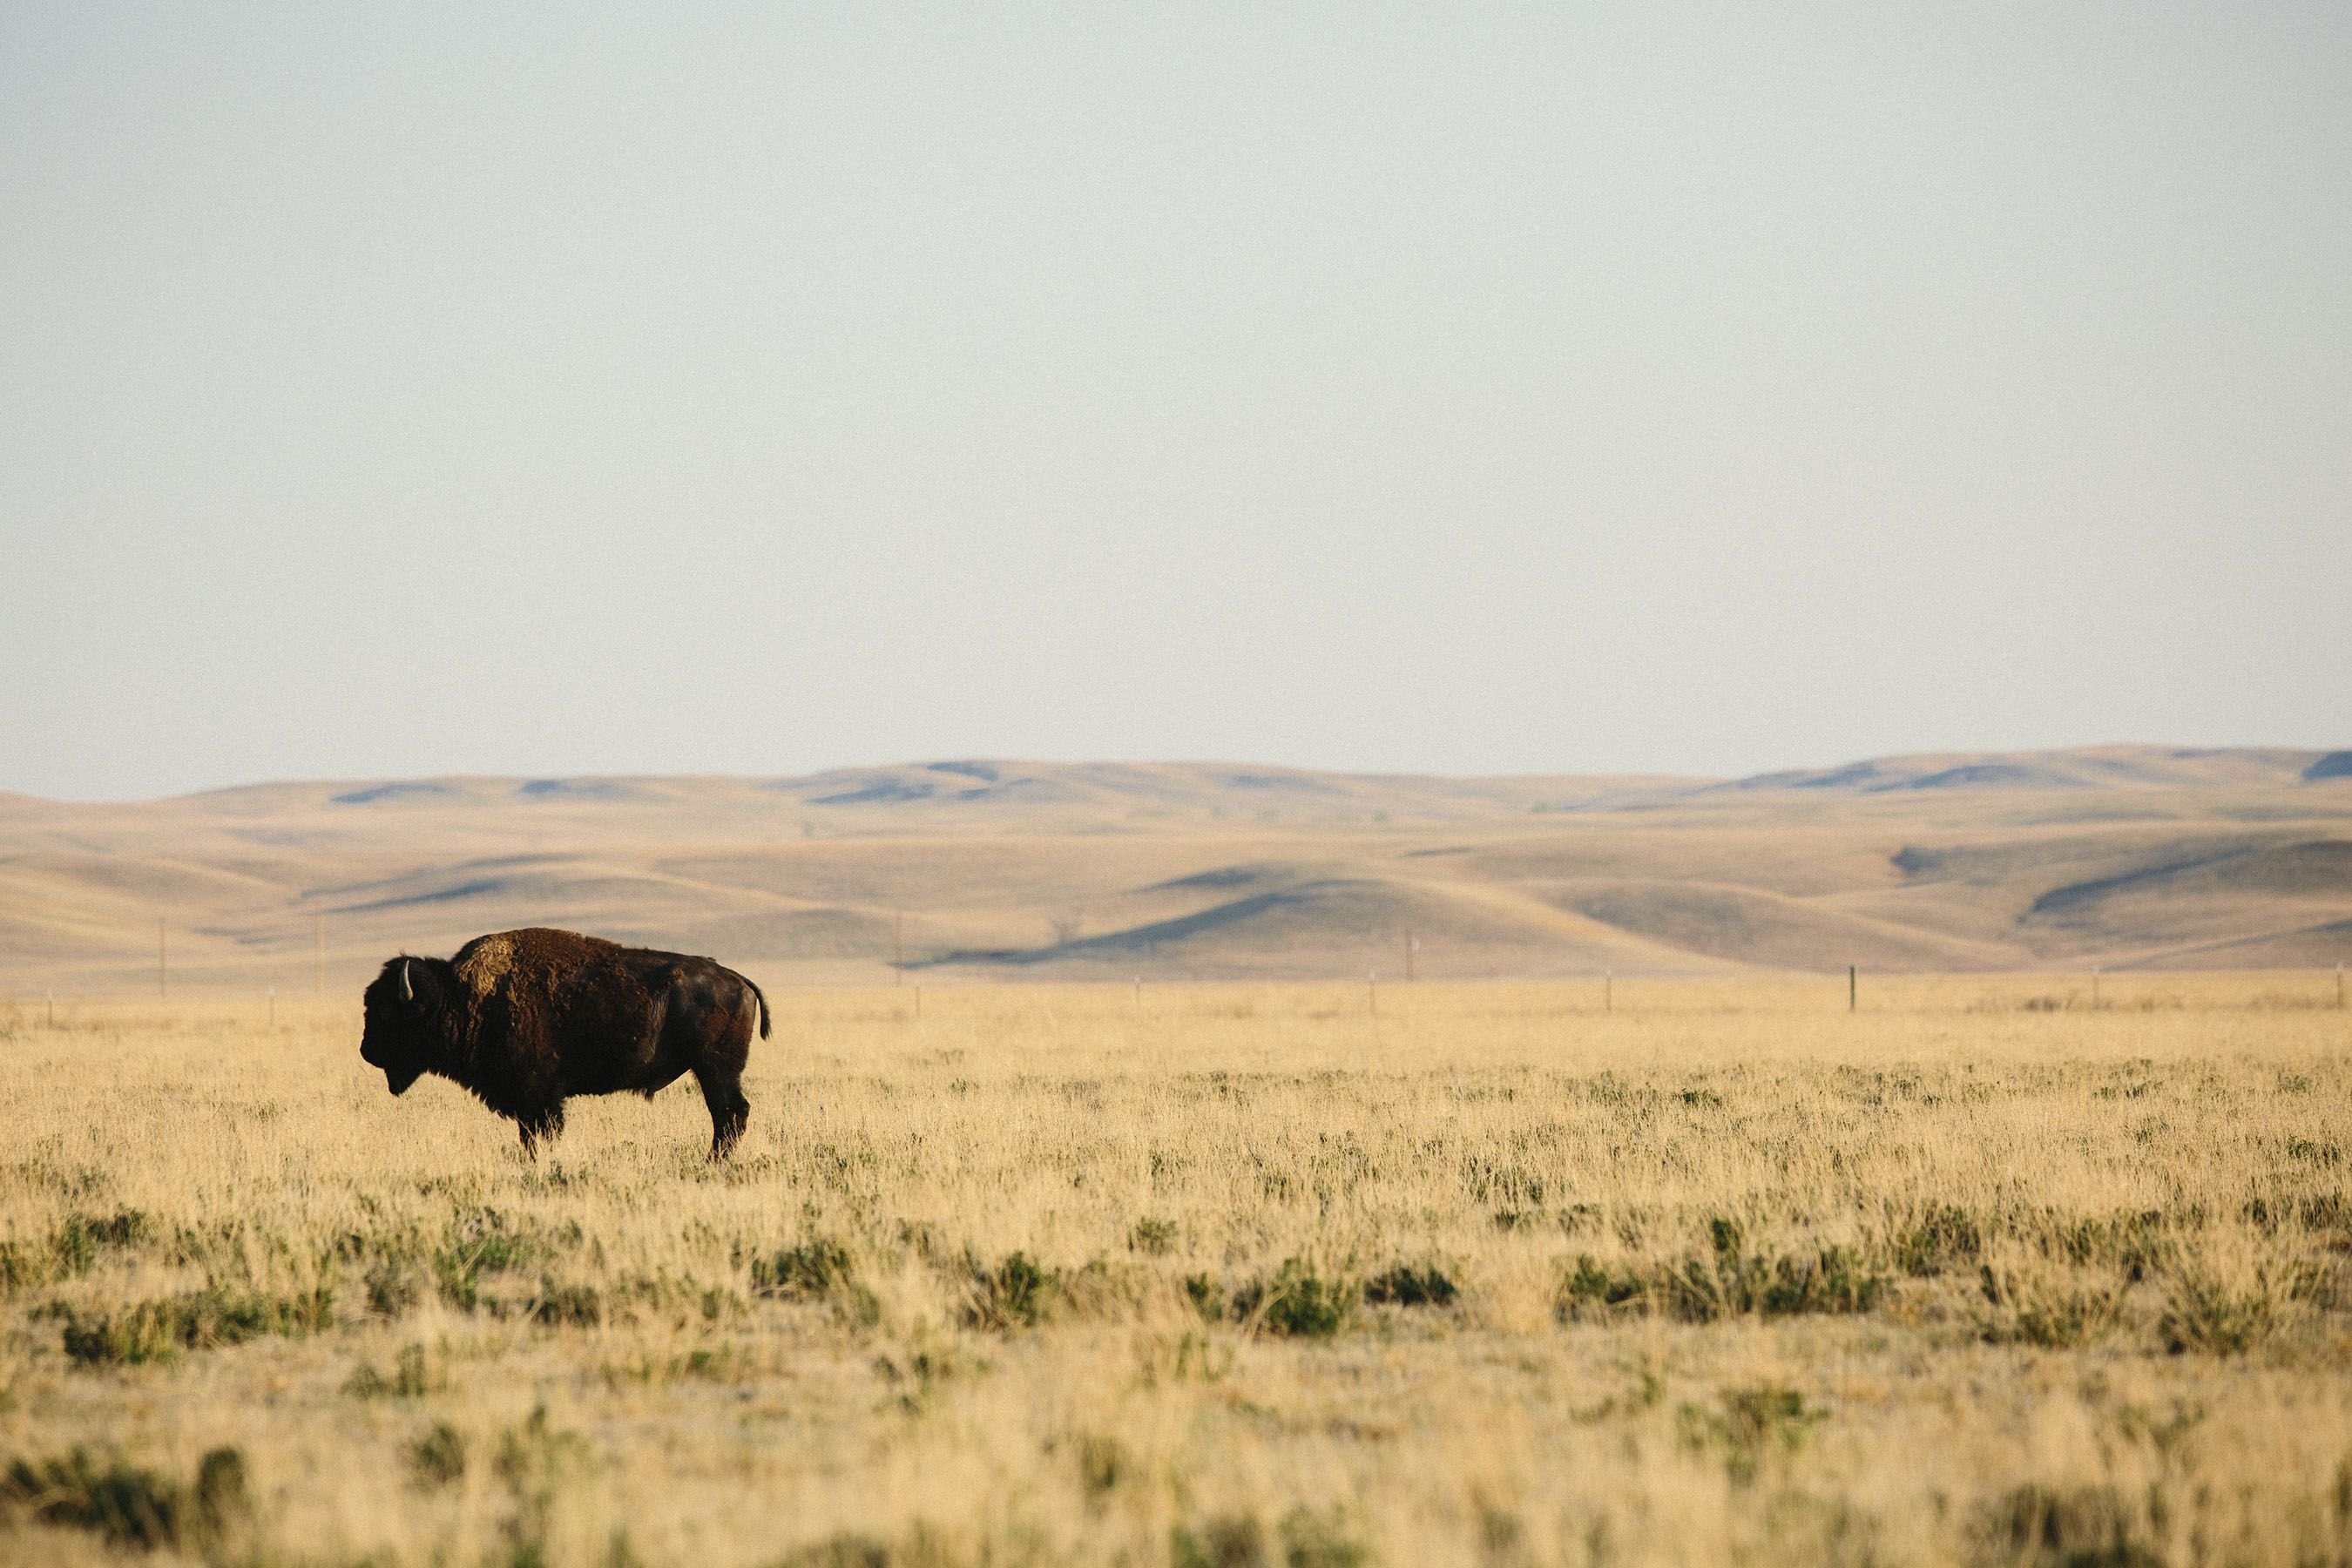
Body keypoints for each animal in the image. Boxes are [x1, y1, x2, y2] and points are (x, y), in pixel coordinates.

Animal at [357, 926, 767, 1161]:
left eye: (387, 1013)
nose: (366, 1051)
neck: (463, 997)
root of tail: (738, 980)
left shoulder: (538, 1097)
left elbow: (540, 1134)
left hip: (715, 1068)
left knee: (730, 1112)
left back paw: (714, 1161)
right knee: (728, 1113)